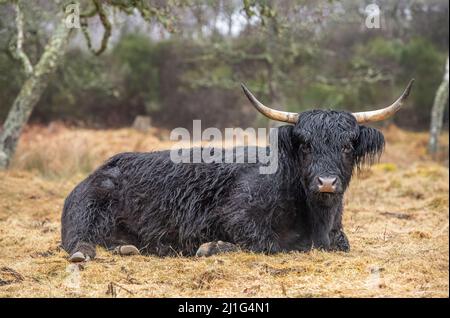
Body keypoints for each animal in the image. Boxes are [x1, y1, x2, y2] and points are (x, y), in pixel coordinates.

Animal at [61, 79, 414, 260]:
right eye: (305, 144)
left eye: (347, 146)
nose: (326, 183)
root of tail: (97, 171)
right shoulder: (237, 217)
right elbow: (268, 243)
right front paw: (212, 246)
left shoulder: (338, 235)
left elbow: (342, 244)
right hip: (86, 210)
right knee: (77, 239)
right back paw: (88, 253)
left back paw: (127, 247)